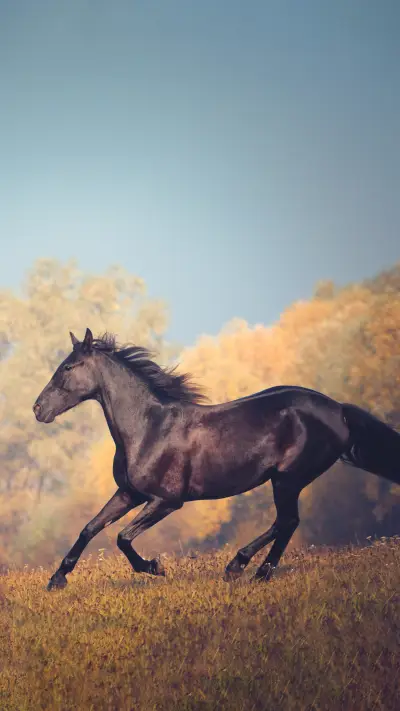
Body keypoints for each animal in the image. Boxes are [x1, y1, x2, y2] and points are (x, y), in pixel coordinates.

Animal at [33, 328, 400, 591]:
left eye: (68, 367)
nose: (38, 409)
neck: (148, 427)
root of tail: (338, 409)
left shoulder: (166, 501)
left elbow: (123, 537)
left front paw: (154, 567)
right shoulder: (129, 493)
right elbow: (90, 528)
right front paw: (57, 580)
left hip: (287, 478)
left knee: (287, 522)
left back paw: (245, 569)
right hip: (285, 480)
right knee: (286, 522)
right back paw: (249, 570)